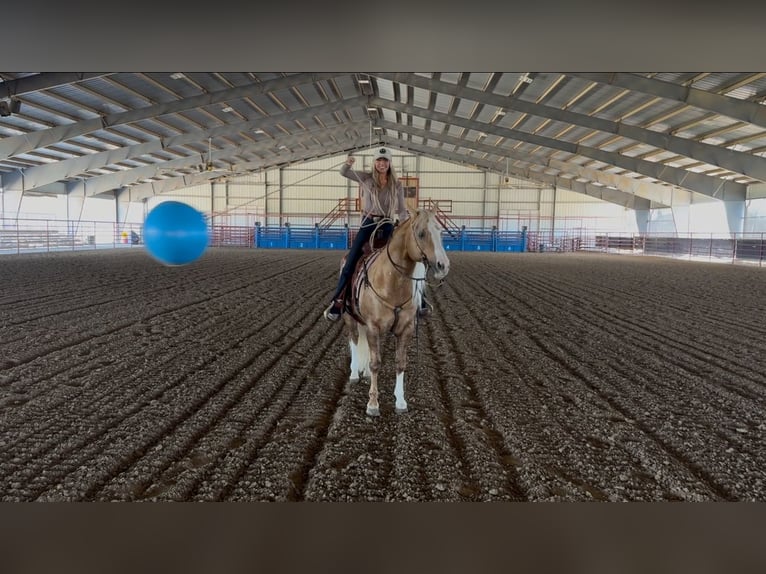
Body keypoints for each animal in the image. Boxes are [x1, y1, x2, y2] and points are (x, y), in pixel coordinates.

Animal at [342, 209, 450, 416]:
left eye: (440, 231)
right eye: (421, 233)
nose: (443, 265)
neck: (391, 282)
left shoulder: (405, 329)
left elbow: (400, 363)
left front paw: (400, 401)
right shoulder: (373, 327)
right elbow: (376, 363)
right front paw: (373, 404)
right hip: (349, 317)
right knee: (353, 340)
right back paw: (353, 373)